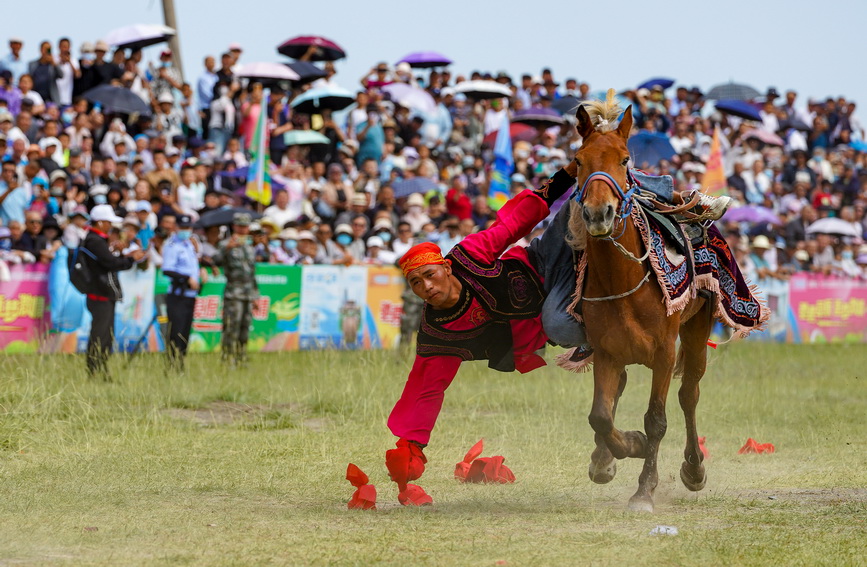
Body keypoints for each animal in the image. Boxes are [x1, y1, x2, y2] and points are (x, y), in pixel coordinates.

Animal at [568, 91, 716, 512]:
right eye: (578, 161)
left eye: (624, 159)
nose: (598, 214)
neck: (626, 279)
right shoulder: (605, 351)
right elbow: (600, 416)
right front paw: (623, 448)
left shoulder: (665, 351)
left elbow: (657, 420)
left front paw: (644, 489)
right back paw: (603, 458)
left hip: (697, 330)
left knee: (689, 394)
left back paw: (694, 468)